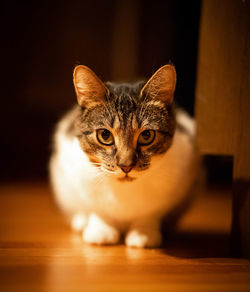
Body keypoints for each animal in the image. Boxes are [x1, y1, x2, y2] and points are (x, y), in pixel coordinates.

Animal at [49, 65, 199, 248]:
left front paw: (144, 233)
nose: (126, 166)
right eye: (105, 135)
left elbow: (151, 212)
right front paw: (101, 230)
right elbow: (98, 209)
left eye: (147, 135)